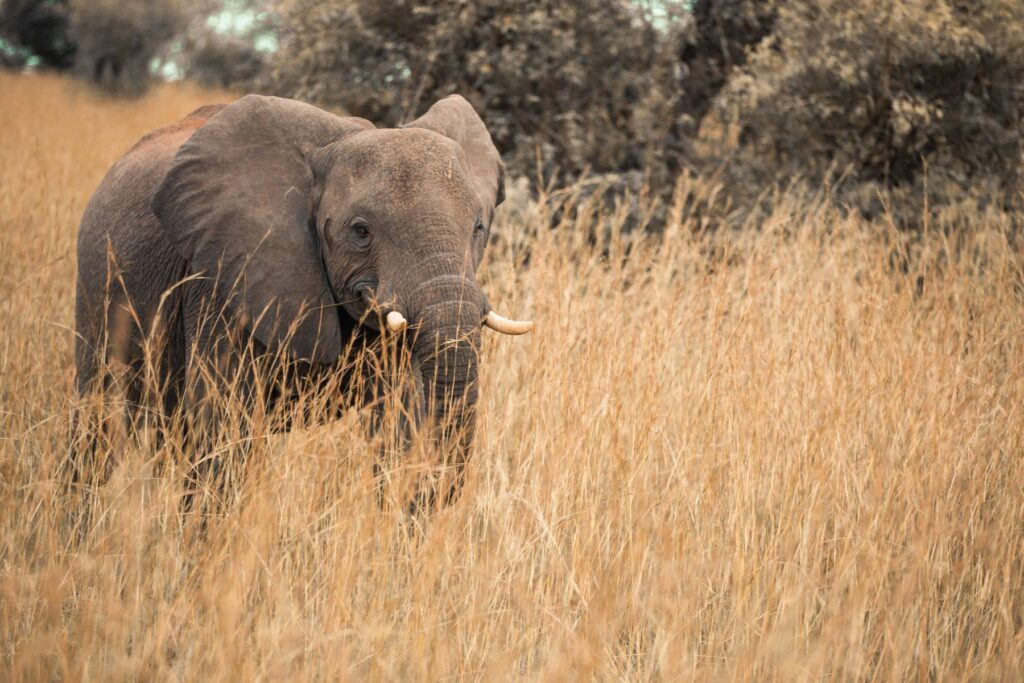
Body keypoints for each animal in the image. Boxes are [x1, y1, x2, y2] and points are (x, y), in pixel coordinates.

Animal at [72, 93, 532, 505]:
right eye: (360, 231)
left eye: (478, 228)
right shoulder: (221, 274)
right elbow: (220, 424)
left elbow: (400, 421)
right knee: (95, 424)